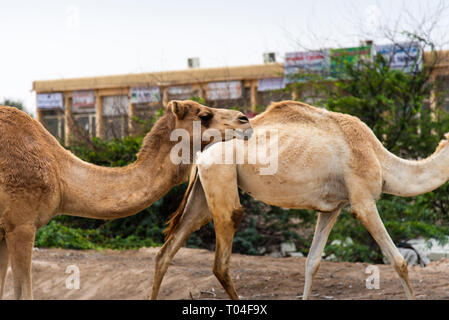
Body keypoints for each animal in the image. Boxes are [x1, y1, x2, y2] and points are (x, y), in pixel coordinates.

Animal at [150, 100, 448, 300]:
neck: (380, 158)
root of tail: (200, 152)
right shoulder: (362, 202)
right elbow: (399, 261)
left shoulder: (332, 208)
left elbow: (312, 263)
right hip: (221, 179)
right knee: (221, 261)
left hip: (202, 194)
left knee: (166, 252)